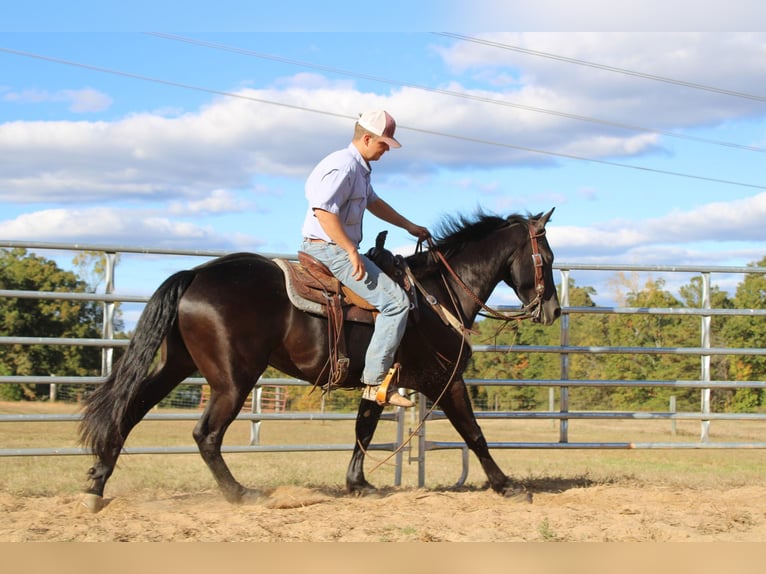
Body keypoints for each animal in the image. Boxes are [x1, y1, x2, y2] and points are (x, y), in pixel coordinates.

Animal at [78, 210, 560, 512]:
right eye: (549, 258)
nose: (552, 310)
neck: (435, 293)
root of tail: (196, 274)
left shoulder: (379, 381)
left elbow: (364, 429)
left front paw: (358, 484)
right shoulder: (445, 378)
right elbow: (474, 434)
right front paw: (507, 486)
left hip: (177, 366)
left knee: (128, 412)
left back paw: (97, 484)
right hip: (233, 380)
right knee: (206, 435)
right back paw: (241, 494)